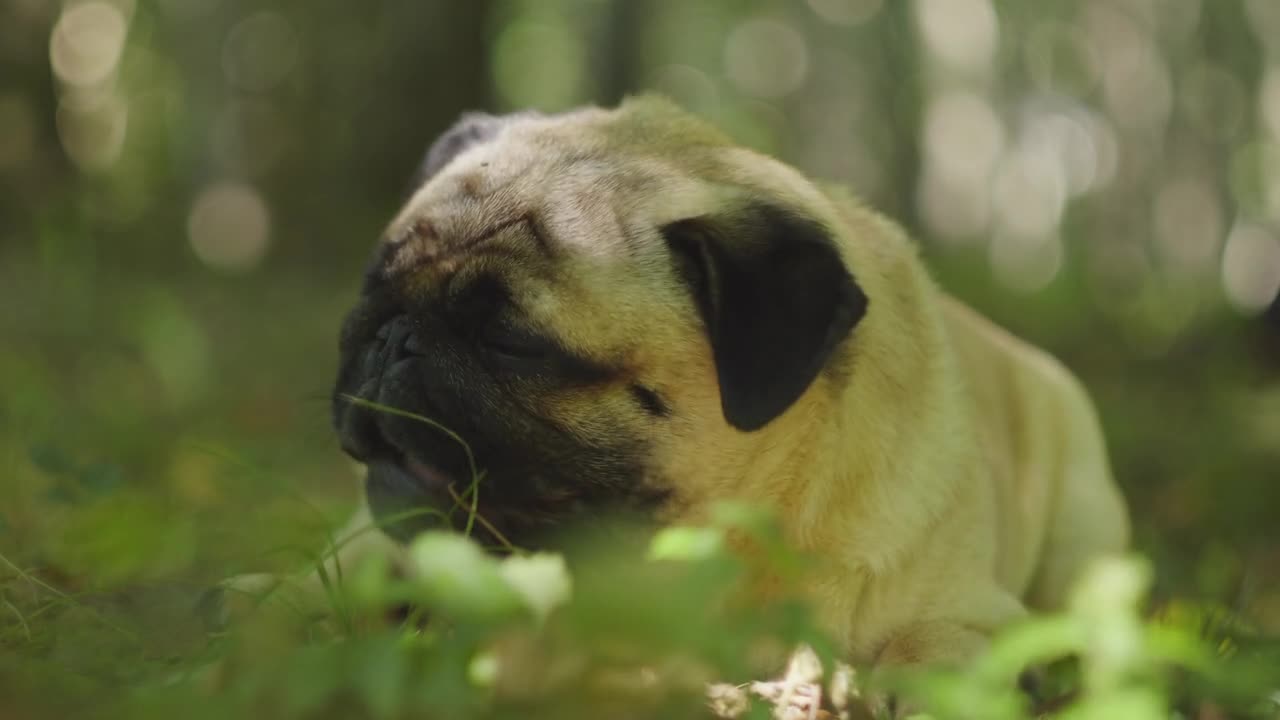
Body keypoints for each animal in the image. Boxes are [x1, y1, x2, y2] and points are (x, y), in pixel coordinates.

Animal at [232, 96, 1131, 671]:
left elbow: (936, 651)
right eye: (375, 285)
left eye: (510, 342)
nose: (394, 338)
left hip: (1083, 535)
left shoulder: (977, 616)